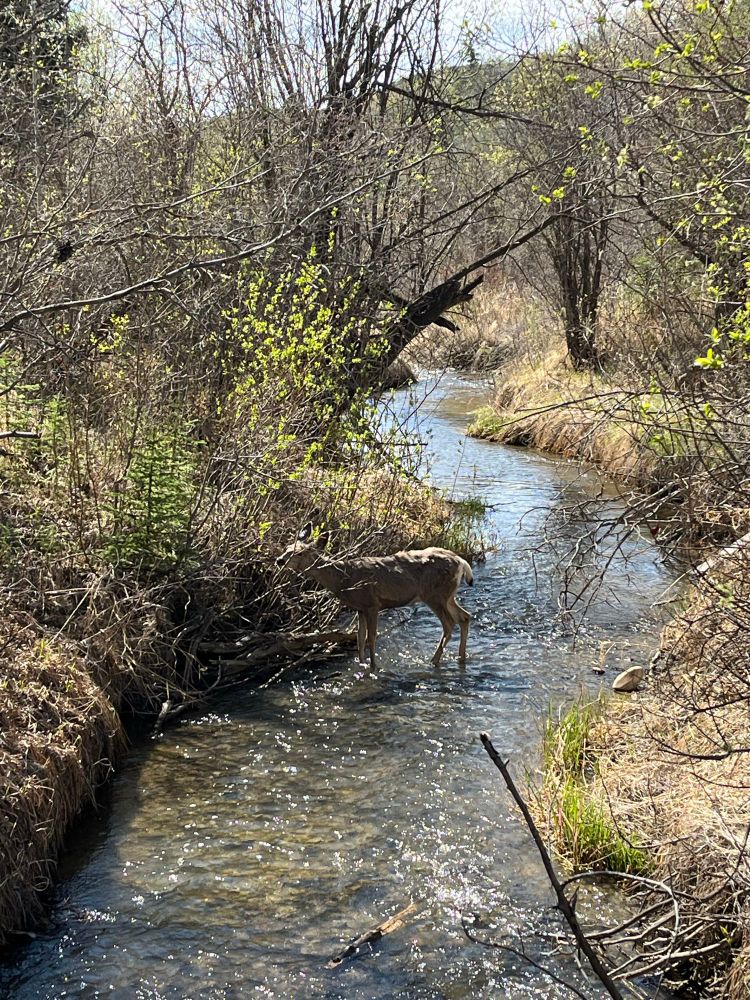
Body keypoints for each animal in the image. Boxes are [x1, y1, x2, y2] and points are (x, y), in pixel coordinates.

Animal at [275, 522, 473, 667]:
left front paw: (374, 667)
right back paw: (461, 657)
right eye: (287, 547)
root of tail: (461, 561)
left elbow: (371, 638)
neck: (344, 579)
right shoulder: (360, 608)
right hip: (448, 596)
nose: (279, 560)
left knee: (449, 624)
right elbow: (360, 639)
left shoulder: (372, 604)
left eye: (300, 553)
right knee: (465, 617)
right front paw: (361, 665)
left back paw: (434, 660)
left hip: (434, 594)